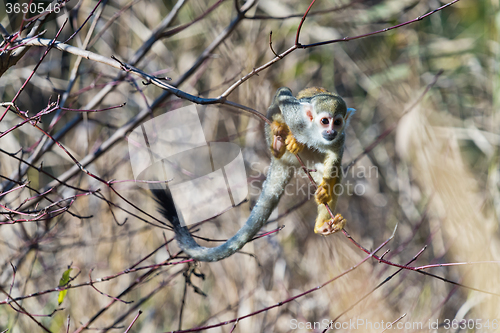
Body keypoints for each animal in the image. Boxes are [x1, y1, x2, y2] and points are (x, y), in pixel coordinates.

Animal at [152, 87, 356, 260]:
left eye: (337, 122)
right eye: (325, 121)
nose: (331, 131)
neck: (315, 134)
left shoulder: (340, 138)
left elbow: (335, 161)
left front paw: (325, 191)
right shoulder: (297, 117)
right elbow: (283, 96)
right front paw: (282, 129)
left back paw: (324, 225)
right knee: (278, 112)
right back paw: (279, 143)